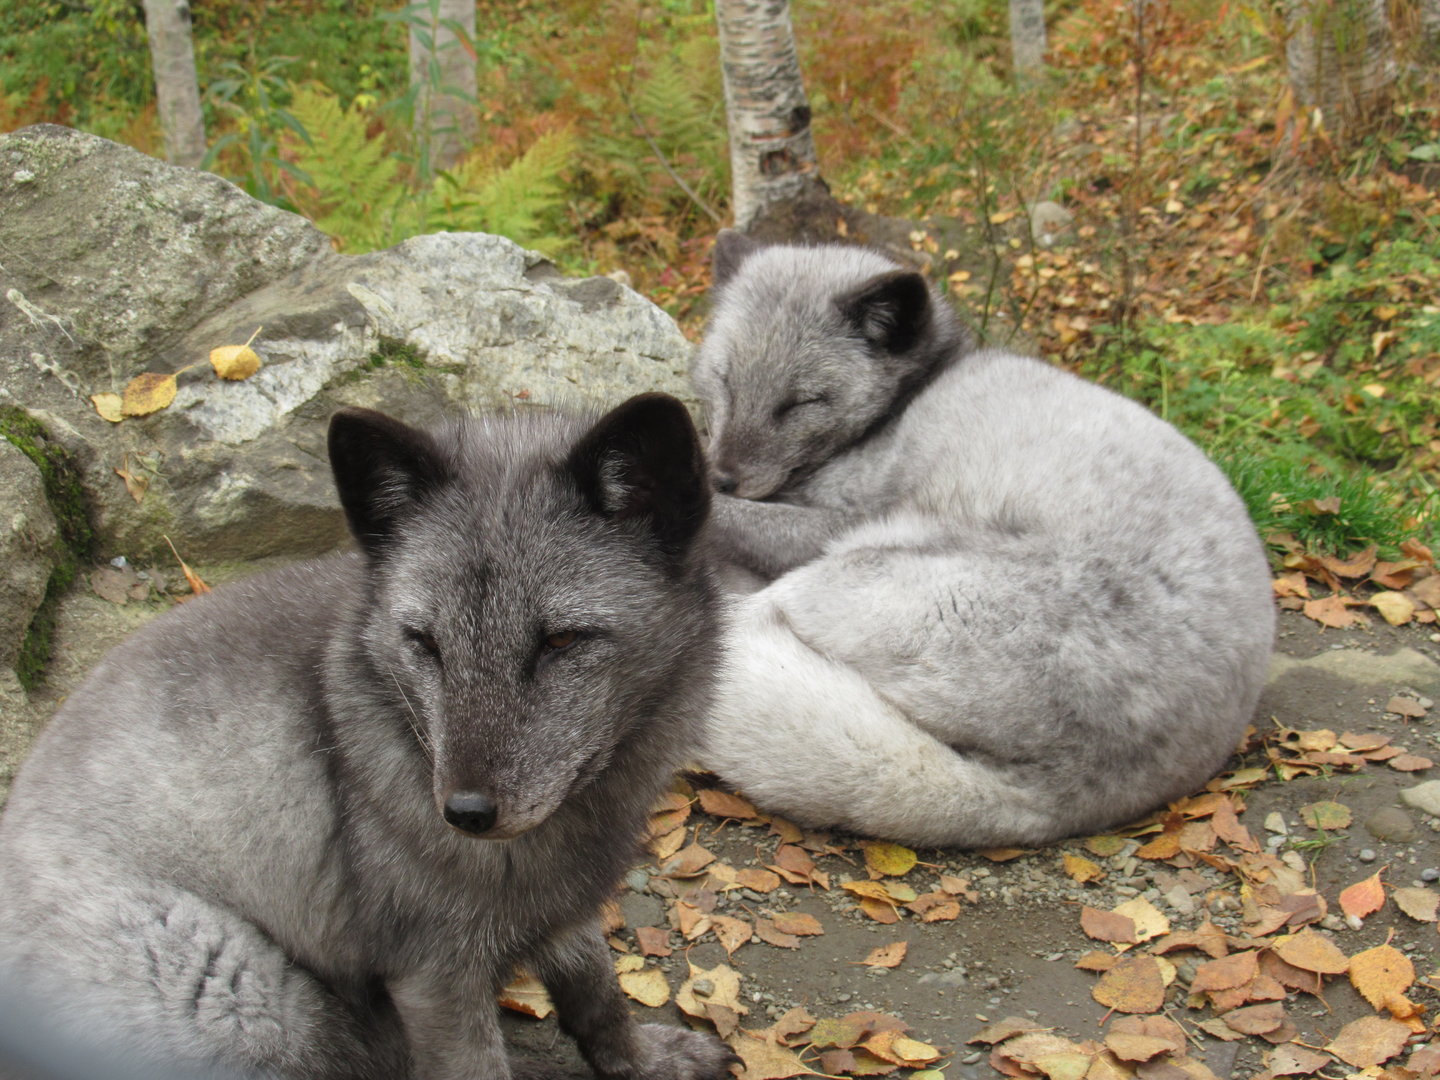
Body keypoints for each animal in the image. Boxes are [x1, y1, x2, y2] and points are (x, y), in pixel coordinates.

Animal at [0, 393, 734, 1080]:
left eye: (560, 640)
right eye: (424, 643)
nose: (465, 814)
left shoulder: (564, 910)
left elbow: (598, 997)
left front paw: (644, 1060)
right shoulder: (434, 976)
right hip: (260, 1007)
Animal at [691, 230, 1276, 850]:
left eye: (801, 402)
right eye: (724, 380)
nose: (724, 474)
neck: (900, 410)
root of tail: (1061, 797)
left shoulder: (846, 520)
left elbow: (737, 517)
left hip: (858, 567)